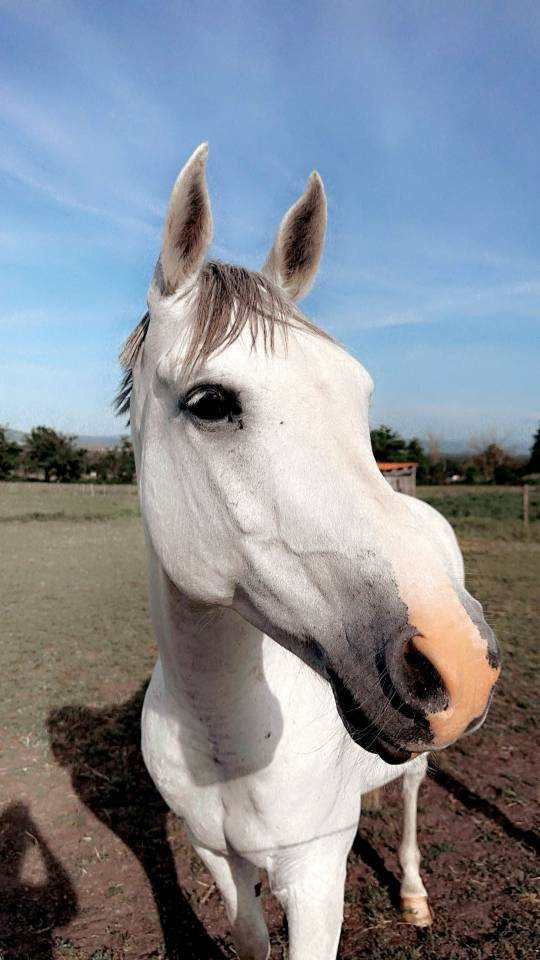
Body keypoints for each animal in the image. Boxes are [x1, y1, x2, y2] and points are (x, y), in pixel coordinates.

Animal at [116, 144, 500, 960]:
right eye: (209, 403)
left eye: (360, 397)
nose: (458, 660)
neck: (227, 733)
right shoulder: (218, 859)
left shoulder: (318, 873)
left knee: (411, 796)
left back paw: (415, 895)